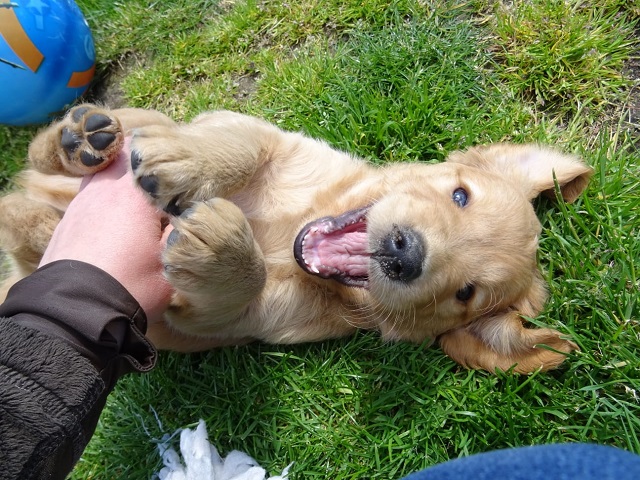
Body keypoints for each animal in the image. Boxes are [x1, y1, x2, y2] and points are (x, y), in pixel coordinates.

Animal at [0, 105, 592, 374]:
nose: (404, 252)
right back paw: (79, 139)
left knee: (22, 222)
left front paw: (221, 249)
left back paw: (39, 219)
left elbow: (239, 288)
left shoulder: (229, 320)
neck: (292, 230)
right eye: (460, 195)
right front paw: (185, 161)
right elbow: (241, 145)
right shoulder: (264, 135)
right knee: (37, 160)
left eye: (465, 294)